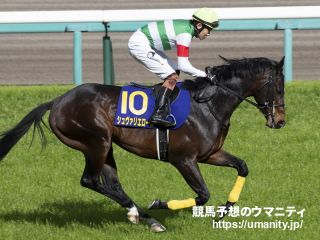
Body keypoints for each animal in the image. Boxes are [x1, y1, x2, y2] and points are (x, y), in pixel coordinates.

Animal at [0, 56, 284, 232]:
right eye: (279, 87)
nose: (280, 121)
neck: (208, 104)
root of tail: (57, 101)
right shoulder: (184, 159)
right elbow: (203, 194)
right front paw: (160, 204)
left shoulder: (210, 154)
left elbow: (242, 166)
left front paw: (224, 211)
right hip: (95, 142)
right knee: (89, 180)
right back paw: (144, 214)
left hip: (106, 146)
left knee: (112, 183)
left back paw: (143, 217)